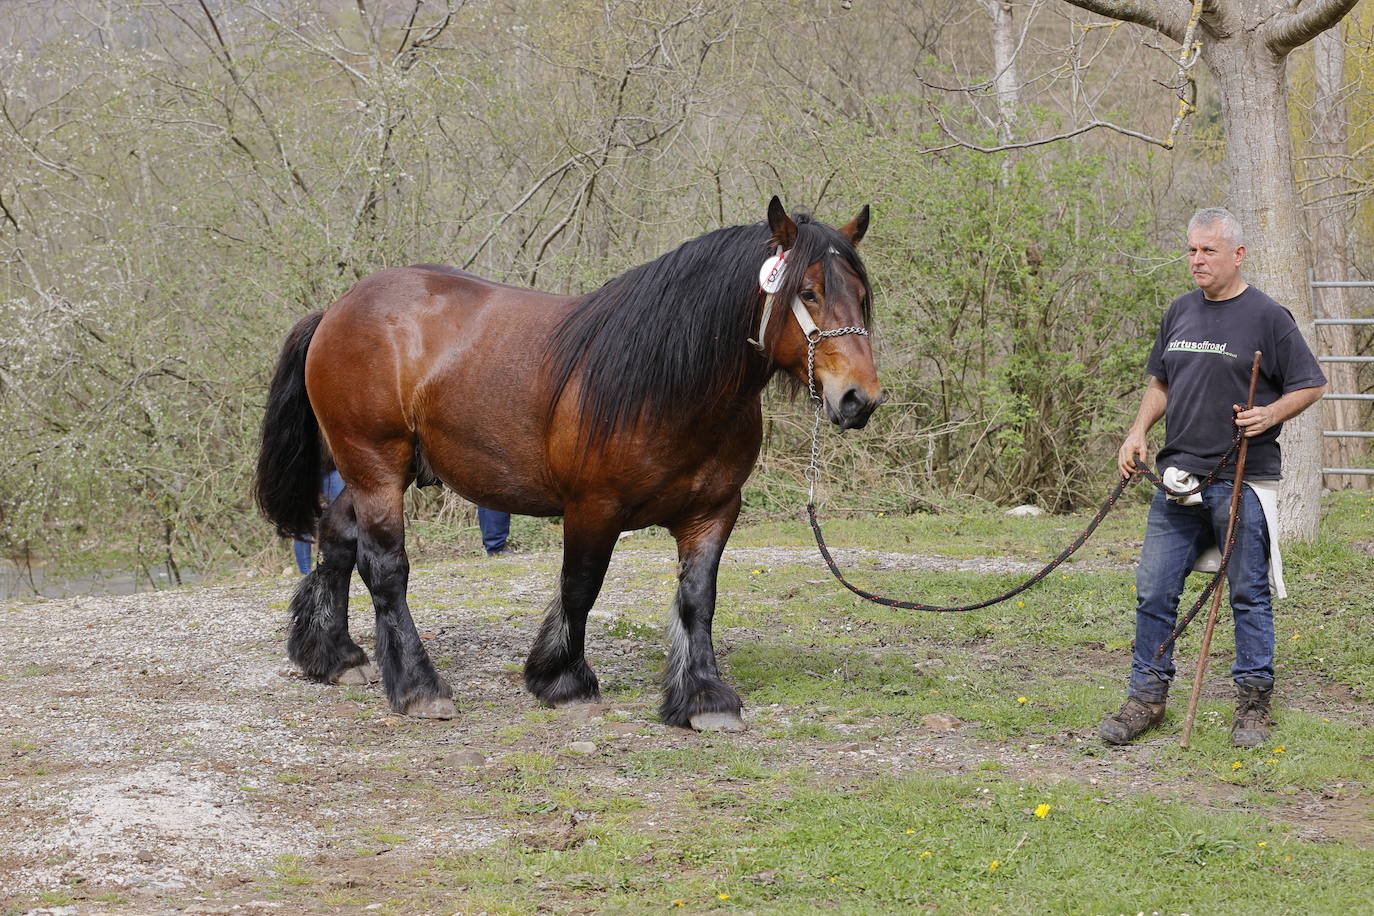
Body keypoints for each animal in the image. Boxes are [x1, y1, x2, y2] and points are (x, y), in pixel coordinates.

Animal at [255, 199, 879, 730]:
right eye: (808, 292)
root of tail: (338, 309)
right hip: (375, 465)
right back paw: (418, 687)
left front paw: (703, 696)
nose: (859, 399)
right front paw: (563, 680)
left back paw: (335, 656)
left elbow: (698, 598)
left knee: (336, 538)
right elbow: (581, 587)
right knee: (385, 567)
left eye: (862, 295)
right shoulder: (593, 508)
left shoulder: (714, 511)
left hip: (381, 470)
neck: (670, 384)